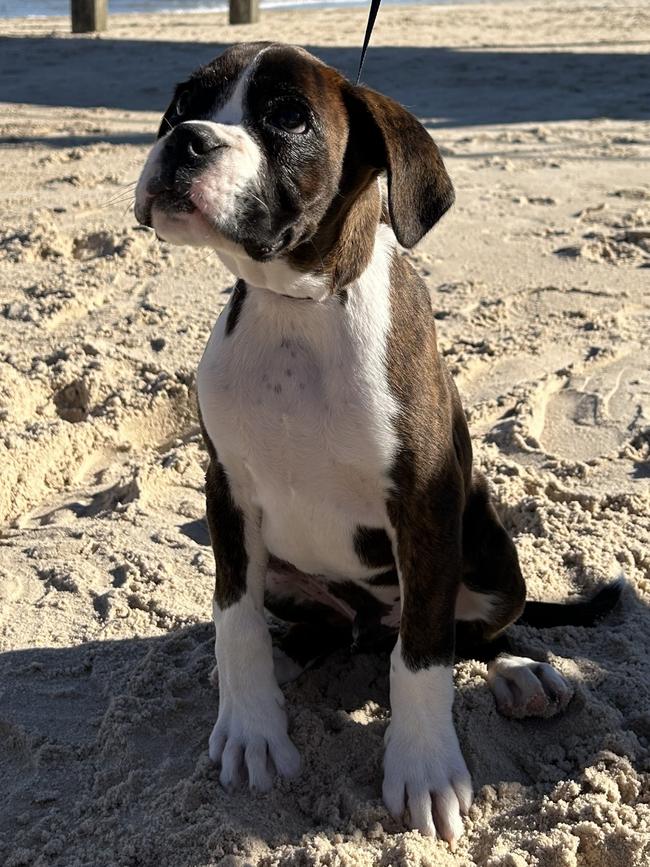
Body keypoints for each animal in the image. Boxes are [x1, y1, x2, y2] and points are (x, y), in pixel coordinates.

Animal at [134, 42, 620, 848]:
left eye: (288, 117)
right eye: (178, 108)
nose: (186, 141)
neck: (296, 309)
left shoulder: (424, 501)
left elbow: (422, 652)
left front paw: (423, 768)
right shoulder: (226, 493)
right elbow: (235, 620)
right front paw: (251, 724)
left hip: (491, 557)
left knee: (461, 632)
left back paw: (518, 672)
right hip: (286, 570)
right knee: (319, 628)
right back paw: (288, 660)